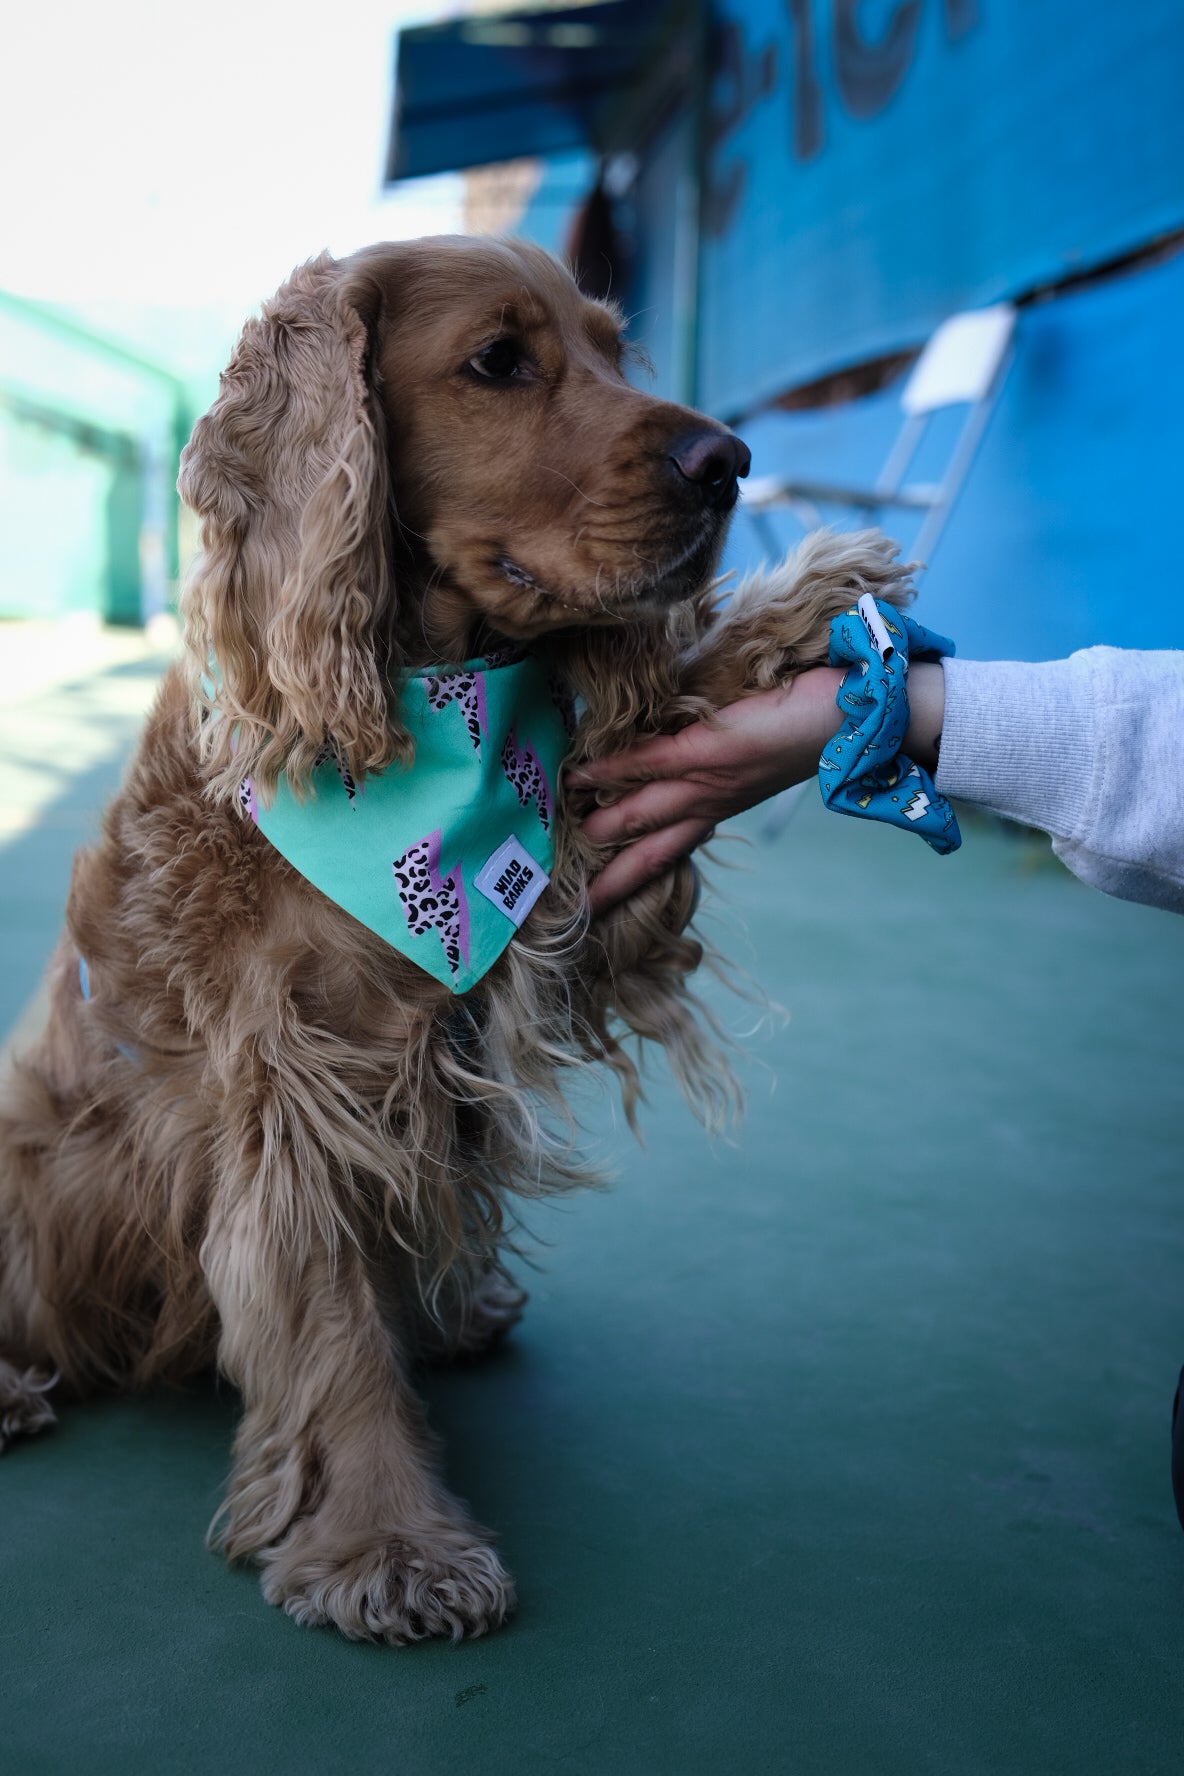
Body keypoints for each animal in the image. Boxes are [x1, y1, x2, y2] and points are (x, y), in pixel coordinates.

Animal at [0, 239, 915, 1648]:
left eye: (610, 346)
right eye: (497, 360)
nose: (728, 461)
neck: (422, 704)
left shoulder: (545, 901)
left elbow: (630, 740)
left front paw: (796, 611)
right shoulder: (296, 1089)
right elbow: (329, 1327)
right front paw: (387, 1544)